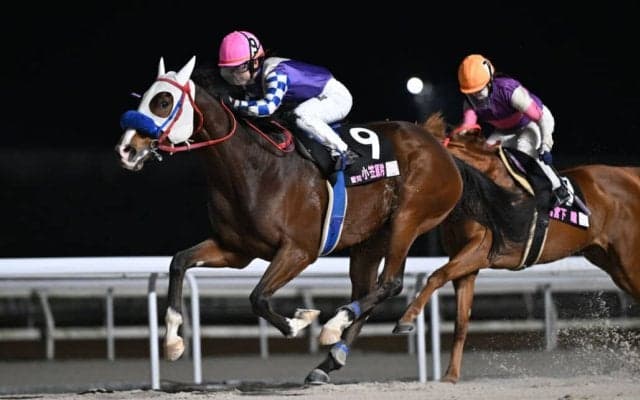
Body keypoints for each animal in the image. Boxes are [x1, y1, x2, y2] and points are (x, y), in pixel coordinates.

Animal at [115, 56, 464, 384]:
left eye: (163, 101)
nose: (126, 150)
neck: (255, 168)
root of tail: (434, 141)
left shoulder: (299, 250)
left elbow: (258, 297)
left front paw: (300, 321)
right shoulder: (235, 250)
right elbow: (179, 262)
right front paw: (173, 341)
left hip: (408, 218)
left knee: (390, 283)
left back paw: (333, 325)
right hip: (370, 241)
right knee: (369, 290)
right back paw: (330, 359)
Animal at [393, 112, 640, 383]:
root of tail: (631, 176)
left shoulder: (482, 250)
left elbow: (437, 275)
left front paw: (405, 319)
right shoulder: (464, 261)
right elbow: (461, 321)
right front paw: (450, 375)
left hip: (628, 261)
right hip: (609, 260)